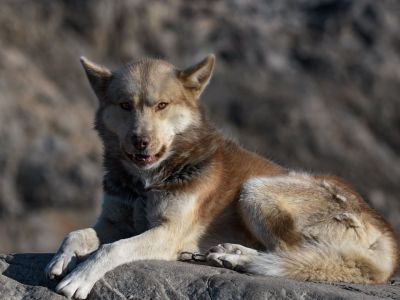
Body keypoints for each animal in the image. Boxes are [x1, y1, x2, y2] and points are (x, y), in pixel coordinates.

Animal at [45, 55, 398, 298]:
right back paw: (230, 255)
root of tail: (386, 233)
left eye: (162, 105)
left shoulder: (167, 232)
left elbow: (112, 249)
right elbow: (77, 234)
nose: (140, 141)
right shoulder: (114, 222)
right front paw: (60, 260)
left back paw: (237, 258)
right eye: (124, 105)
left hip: (256, 189)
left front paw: (79, 278)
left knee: (292, 256)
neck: (146, 183)